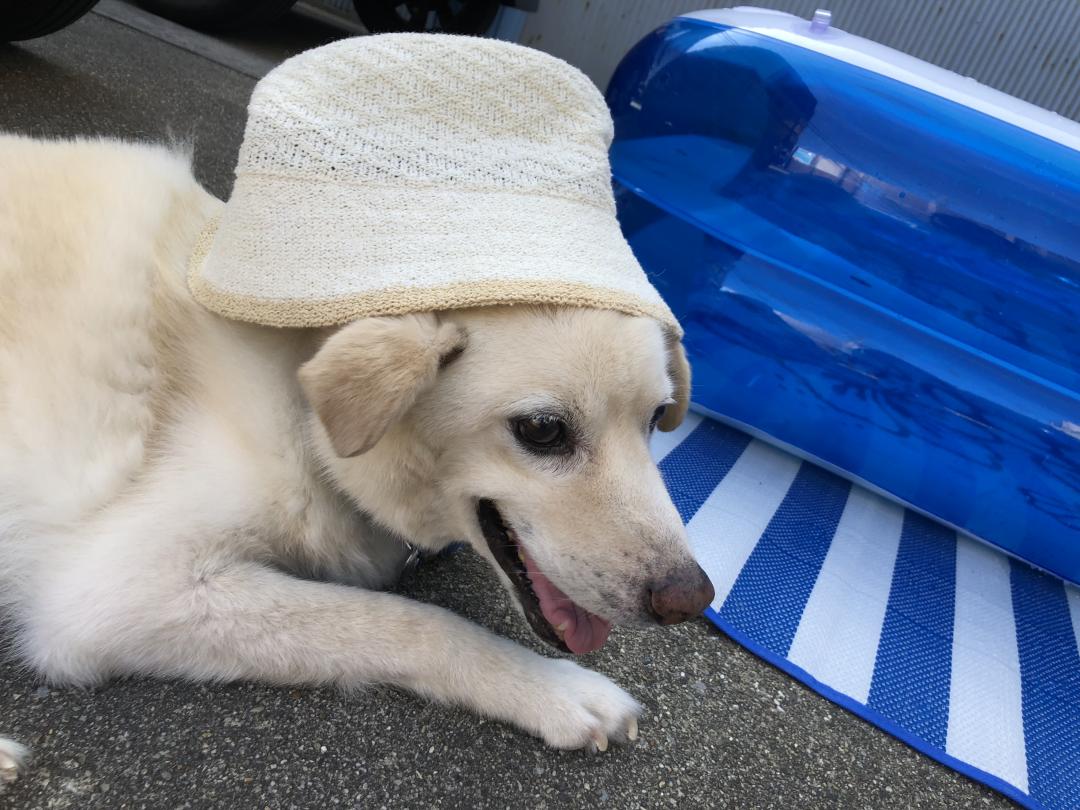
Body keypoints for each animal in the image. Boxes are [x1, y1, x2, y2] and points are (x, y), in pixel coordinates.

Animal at [0, 136, 712, 781]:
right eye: (542, 431)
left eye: (656, 420)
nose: (693, 599)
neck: (302, 404)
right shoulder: (115, 591)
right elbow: (411, 622)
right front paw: (556, 689)